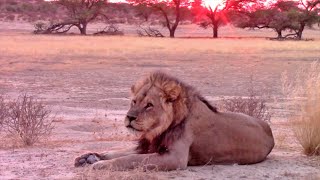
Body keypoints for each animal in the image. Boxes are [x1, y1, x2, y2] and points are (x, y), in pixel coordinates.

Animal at [75, 71, 276, 170]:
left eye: (149, 105)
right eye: (134, 101)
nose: (129, 117)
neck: (156, 131)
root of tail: (270, 130)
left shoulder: (175, 158)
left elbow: (130, 159)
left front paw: (101, 164)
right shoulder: (149, 146)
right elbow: (119, 152)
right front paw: (90, 157)